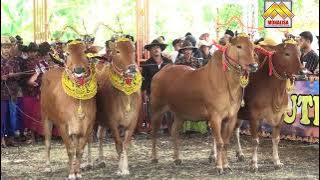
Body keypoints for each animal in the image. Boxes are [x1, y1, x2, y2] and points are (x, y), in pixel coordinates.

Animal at [40, 41, 97, 180]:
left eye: (85, 52)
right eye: (67, 53)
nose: (79, 70)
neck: (77, 101)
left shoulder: (87, 126)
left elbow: (79, 150)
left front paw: (78, 172)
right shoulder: (62, 126)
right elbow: (70, 150)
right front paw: (71, 173)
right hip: (45, 117)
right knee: (47, 142)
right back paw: (48, 167)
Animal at [87, 37, 142, 175]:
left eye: (133, 50)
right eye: (118, 51)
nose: (132, 68)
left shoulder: (133, 121)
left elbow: (125, 144)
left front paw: (125, 168)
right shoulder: (113, 122)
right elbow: (118, 145)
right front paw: (120, 169)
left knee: (100, 135)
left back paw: (101, 160)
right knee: (89, 138)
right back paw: (88, 163)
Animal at [151, 33, 258, 173]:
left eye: (253, 47)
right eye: (239, 46)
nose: (254, 66)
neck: (226, 82)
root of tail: (161, 71)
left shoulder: (231, 118)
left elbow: (226, 142)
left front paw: (226, 165)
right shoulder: (215, 117)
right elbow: (220, 142)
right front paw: (219, 166)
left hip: (180, 114)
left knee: (174, 131)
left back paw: (177, 158)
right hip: (157, 109)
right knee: (154, 132)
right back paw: (154, 157)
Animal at [232, 38, 302, 171]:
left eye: (300, 54)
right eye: (287, 53)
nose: (303, 71)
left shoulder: (280, 116)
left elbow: (276, 139)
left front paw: (277, 161)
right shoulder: (254, 117)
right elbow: (255, 140)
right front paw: (254, 163)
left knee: (236, 130)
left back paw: (240, 154)